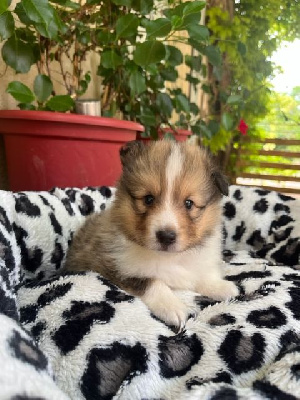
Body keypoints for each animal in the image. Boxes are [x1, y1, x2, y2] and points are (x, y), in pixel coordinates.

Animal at [64, 141, 238, 328]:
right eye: (148, 199)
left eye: (189, 203)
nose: (166, 236)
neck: (170, 258)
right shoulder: (116, 266)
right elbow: (153, 282)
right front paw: (173, 307)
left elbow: (202, 275)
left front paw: (221, 287)